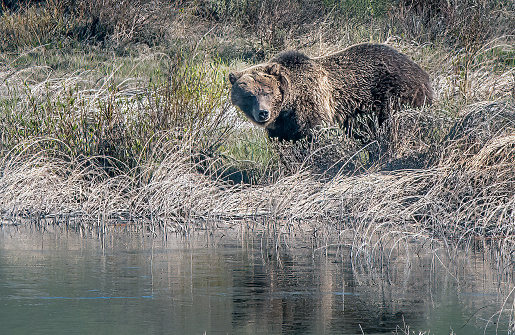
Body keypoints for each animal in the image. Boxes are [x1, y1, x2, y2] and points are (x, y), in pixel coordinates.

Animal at [230, 43, 436, 142]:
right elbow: (285, 144)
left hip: (397, 94)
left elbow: (317, 132)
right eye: (249, 96)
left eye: (268, 92)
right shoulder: (282, 125)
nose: (263, 113)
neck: (288, 104)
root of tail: (422, 72)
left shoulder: (311, 103)